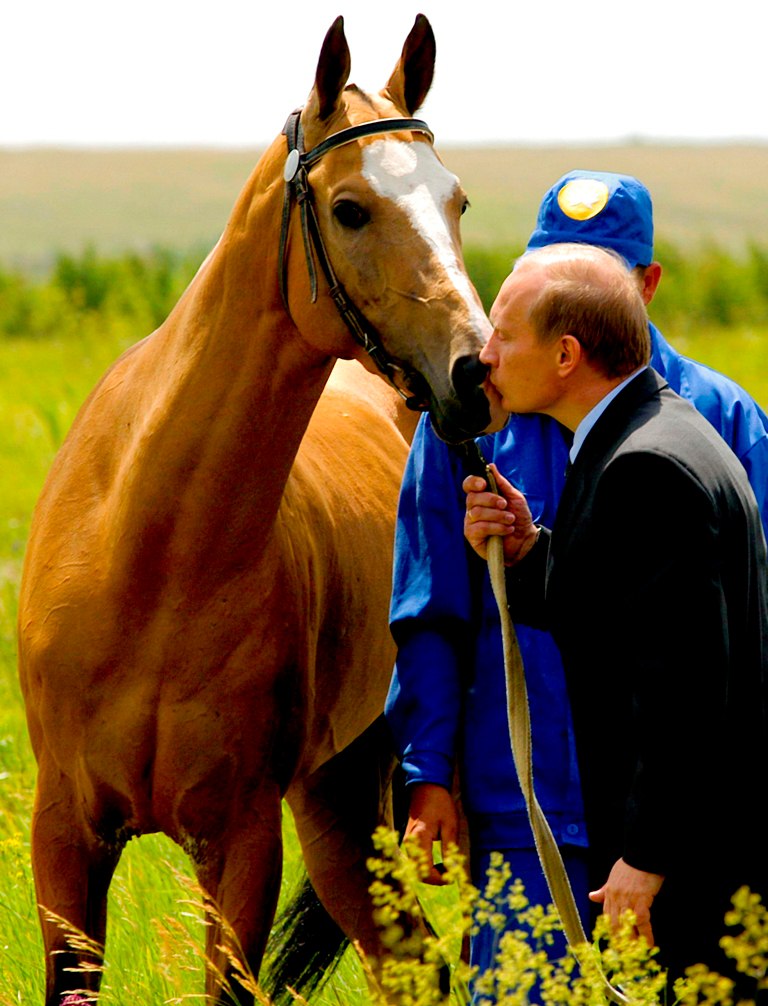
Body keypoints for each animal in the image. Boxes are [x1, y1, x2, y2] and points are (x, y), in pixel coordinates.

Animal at [19, 15, 499, 1006]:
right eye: (351, 208)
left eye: (457, 200)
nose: (475, 373)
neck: (149, 556)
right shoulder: (65, 836)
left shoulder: (238, 843)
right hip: (340, 805)